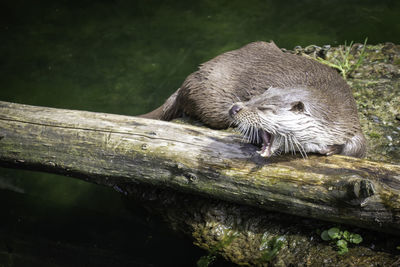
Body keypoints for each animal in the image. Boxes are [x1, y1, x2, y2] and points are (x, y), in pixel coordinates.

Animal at [140, 41, 366, 158]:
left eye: (265, 108)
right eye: (253, 98)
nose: (234, 108)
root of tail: (194, 75)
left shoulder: (348, 119)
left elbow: (359, 147)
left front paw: (332, 149)